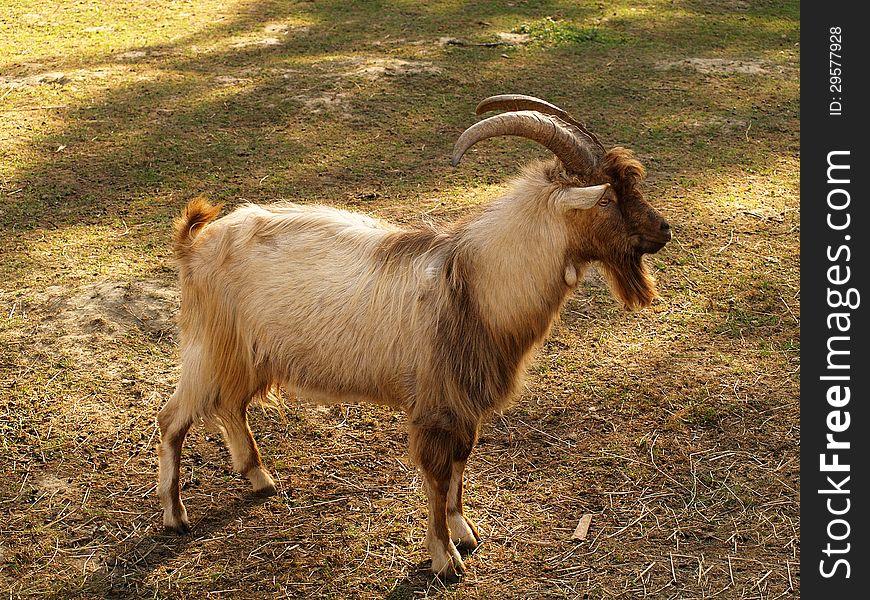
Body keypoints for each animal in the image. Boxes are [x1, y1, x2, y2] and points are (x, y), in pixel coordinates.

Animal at [158, 95, 676, 580]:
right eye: (606, 198)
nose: (663, 230)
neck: (474, 284)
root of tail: (194, 244)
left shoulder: (463, 406)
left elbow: (461, 467)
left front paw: (464, 531)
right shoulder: (434, 406)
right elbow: (438, 477)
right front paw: (445, 559)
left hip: (247, 356)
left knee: (230, 406)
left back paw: (260, 477)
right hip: (211, 346)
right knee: (172, 418)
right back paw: (174, 515)